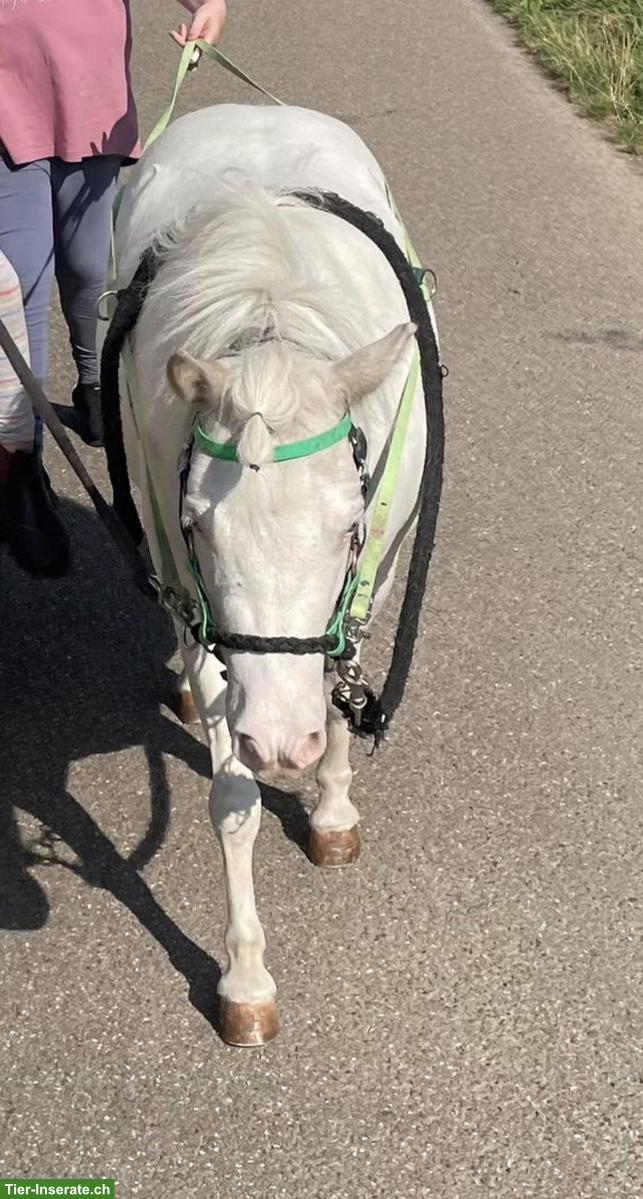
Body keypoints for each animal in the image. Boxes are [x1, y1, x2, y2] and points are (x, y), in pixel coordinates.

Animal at [109, 104, 436, 1045]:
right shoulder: (195, 599)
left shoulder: (374, 574)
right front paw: (245, 976)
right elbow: (232, 796)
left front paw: (329, 807)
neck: (272, 317)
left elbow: (337, 685)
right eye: (196, 526)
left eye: (349, 527)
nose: (279, 742)